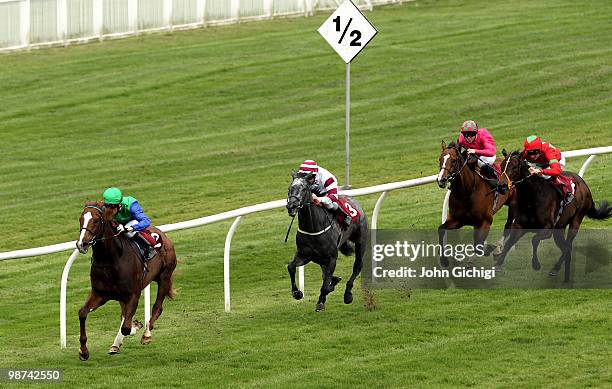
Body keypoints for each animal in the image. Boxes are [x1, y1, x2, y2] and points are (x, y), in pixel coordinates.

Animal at [74, 202, 177, 360]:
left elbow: (126, 327)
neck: (110, 260)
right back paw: (116, 344)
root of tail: (163, 236)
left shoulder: (134, 294)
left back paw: (146, 334)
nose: (82, 244)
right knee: (124, 315)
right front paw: (83, 351)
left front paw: (136, 327)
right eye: (80, 219)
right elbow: (82, 313)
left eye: (96, 220)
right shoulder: (99, 294)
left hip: (164, 277)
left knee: (157, 308)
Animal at [286, 173, 368, 312]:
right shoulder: (304, 255)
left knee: (357, 266)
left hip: (360, 241)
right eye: (289, 188)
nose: (291, 206)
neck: (313, 227)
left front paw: (320, 302)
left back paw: (348, 294)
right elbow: (291, 267)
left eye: (304, 189)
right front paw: (297, 293)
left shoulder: (331, 258)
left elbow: (325, 285)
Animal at [492, 150, 612, 280]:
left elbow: (534, 240)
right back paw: (563, 273)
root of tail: (584, 184)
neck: (532, 198)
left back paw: (555, 268)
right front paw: (498, 263)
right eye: (501, 166)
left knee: (568, 245)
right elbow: (509, 242)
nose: (501, 186)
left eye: (514, 166)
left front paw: (536, 264)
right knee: (565, 248)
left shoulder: (547, 229)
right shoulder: (519, 226)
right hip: (559, 228)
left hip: (576, 220)